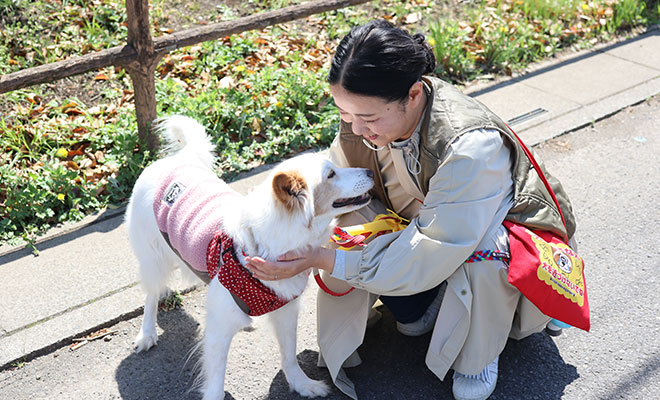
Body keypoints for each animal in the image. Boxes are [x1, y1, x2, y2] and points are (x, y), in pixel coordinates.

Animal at [124, 114, 372, 398]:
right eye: (331, 174)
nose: (370, 171)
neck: (266, 243)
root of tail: (174, 161)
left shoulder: (286, 311)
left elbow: (289, 355)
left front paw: (302, 384)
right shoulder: (218, 330)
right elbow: (216, 381)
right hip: (153, 258)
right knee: (150, 295)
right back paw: (147, 333)